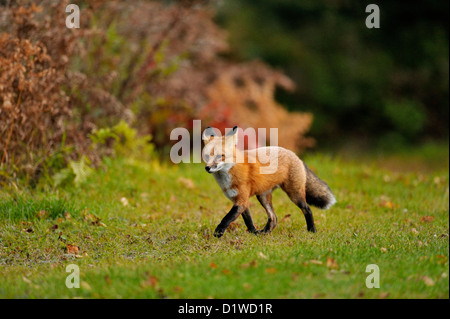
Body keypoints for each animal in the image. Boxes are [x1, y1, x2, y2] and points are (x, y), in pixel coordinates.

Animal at [202, 126, 336, 239]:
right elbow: (248, 221)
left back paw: (312, 230)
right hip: (263, 196)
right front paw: (254, 233)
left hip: (295, 195)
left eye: (220, 156)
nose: (207, 168)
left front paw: (217, 234)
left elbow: (226, 219)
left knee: (307, 209)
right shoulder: (240, 201)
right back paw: (265, 233)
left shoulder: (241, 201)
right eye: (207, 156)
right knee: (274, 218)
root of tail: (295, 155)